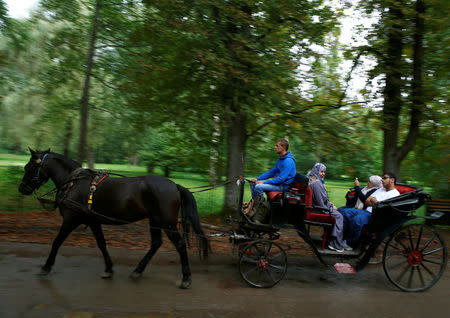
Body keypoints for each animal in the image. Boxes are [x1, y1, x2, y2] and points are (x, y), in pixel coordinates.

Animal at [17, 148, 207, 288]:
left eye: (29, 167)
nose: (22, 188)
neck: (74, 183)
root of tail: (174, 185)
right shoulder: (93, 221)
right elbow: (101, 244)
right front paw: (108, 268)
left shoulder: (71, 219)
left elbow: (57, 242)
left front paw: (46, 266)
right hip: (154, 221)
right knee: (156, 243)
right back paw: (138, 270)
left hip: (166, 223)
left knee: (180, 245)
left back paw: (186, 278)